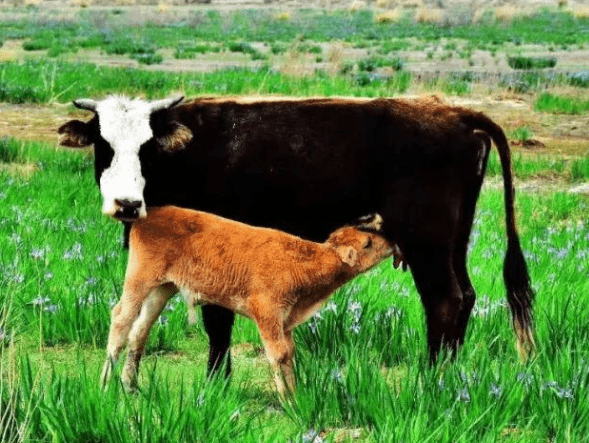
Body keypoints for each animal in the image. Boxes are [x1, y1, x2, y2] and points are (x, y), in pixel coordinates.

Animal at [58, 94, 532, 374]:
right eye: (103, 145)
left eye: (148, 147)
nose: (126, 204)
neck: (190, 151)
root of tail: (453, 112)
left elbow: (218, 320)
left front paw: (216, 382)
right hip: (454, 240)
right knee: (465, 296)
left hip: (426, 242)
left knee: (444, 301)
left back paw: (431, 378)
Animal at [101, 207, 398, 396]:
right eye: (368, 243)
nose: (392, 243)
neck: (304, 261)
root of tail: (150, 214)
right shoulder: (267, 314)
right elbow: (278, 355)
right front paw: (289, 402)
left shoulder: (285, 322)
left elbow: (289, 354)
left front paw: (297, 395)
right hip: (139, 281)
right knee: (121, 320)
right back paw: (105, 386)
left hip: (163, 289)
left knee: (140, 331)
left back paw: (130, 386)